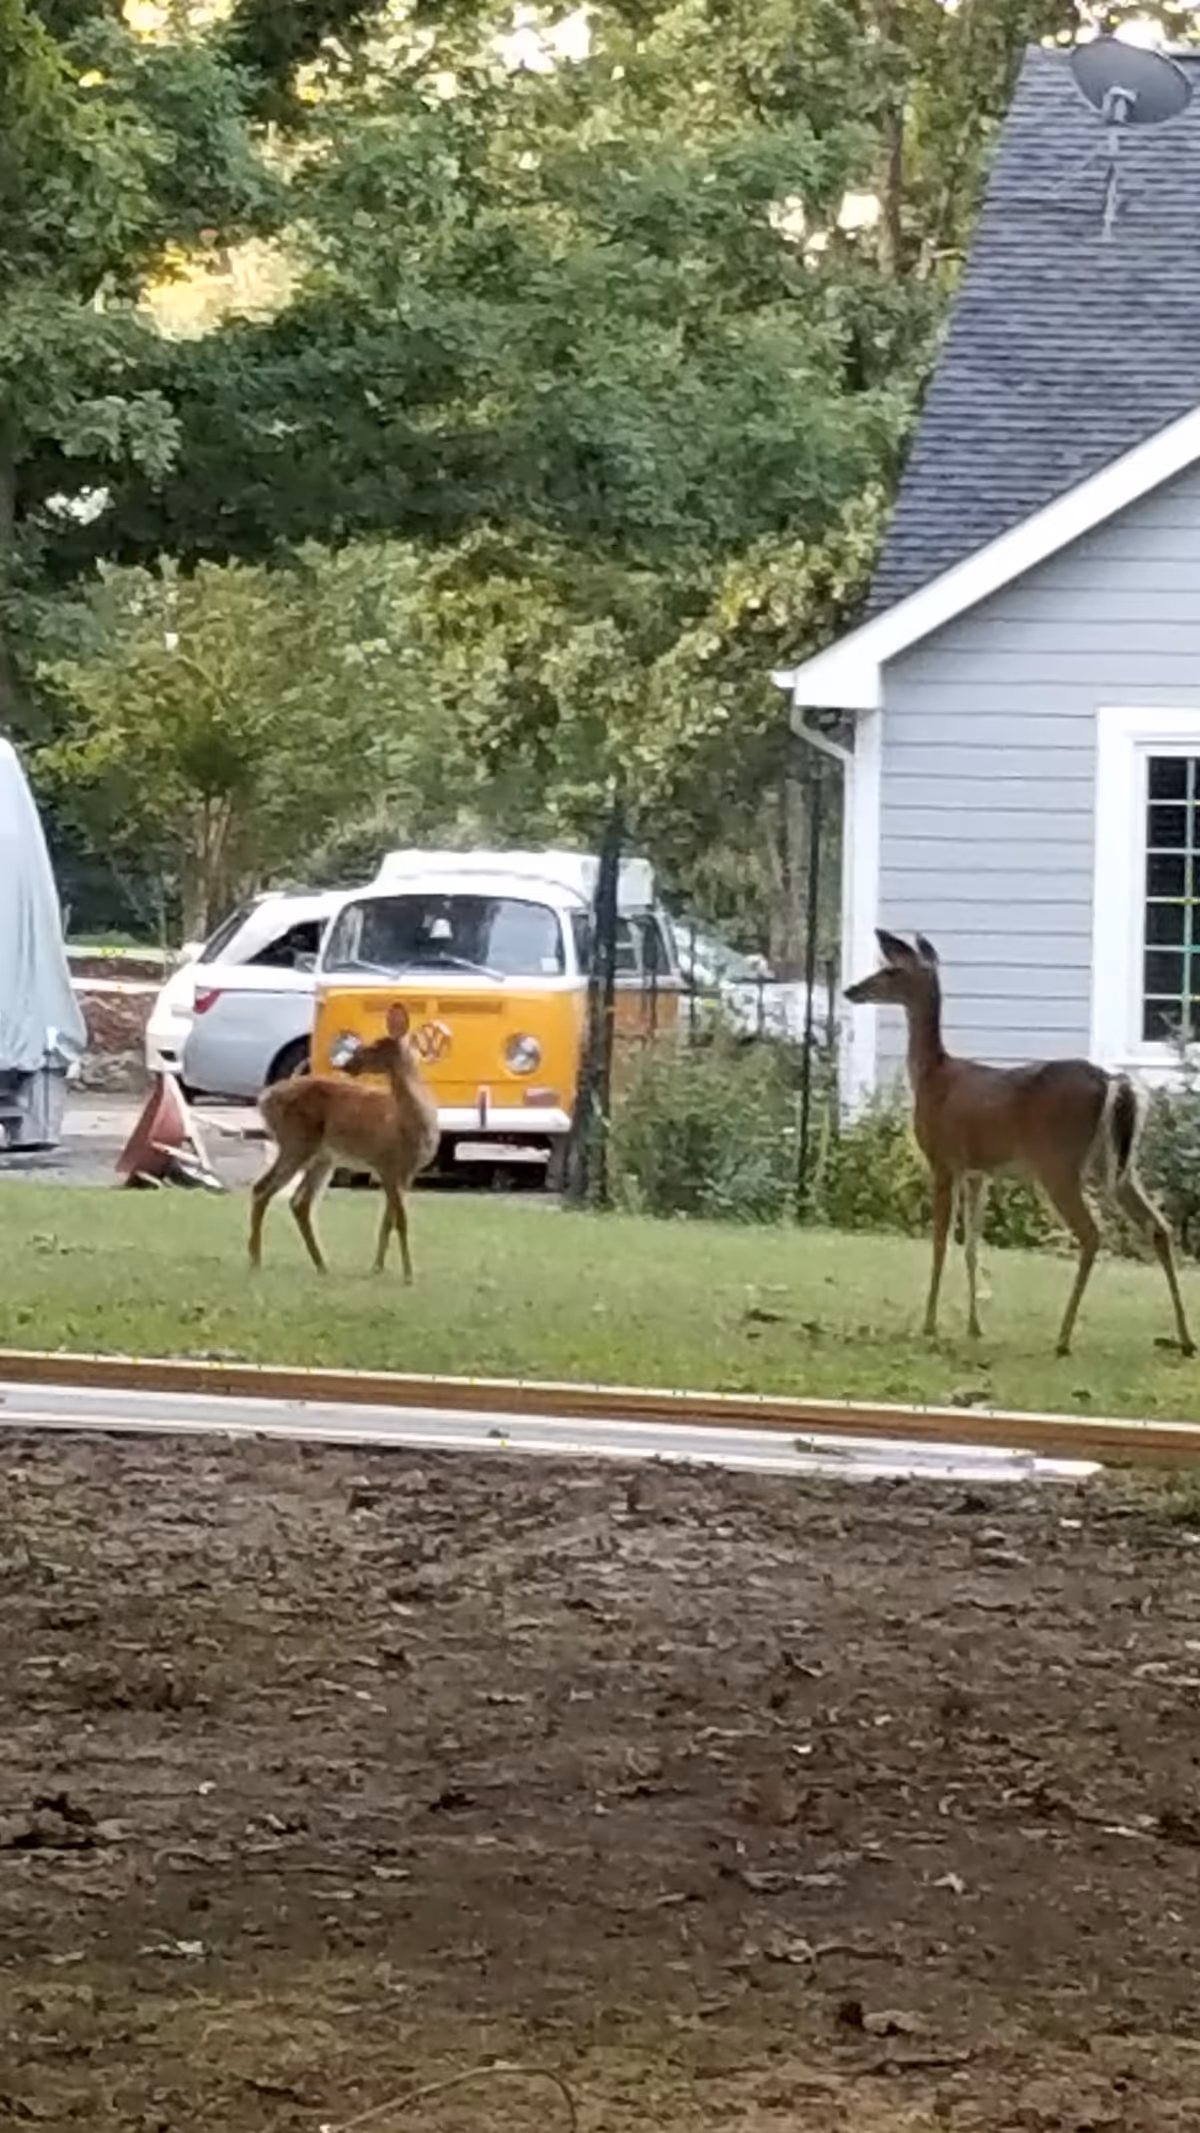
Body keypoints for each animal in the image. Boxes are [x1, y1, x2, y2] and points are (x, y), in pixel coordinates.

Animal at [248, 1003, 439, 1280]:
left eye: (374, 1046)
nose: (349, 1065)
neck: (409, 1122)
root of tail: (264, 1099)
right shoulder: (387, 1165)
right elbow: (401, 1221)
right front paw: (408, 1275)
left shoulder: (406, 1172)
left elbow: (388, 1221)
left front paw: (377, 1268)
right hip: (296, 1142)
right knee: (263, 1188)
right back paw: (256, 1260)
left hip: (322, 1157)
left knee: (299, 1201)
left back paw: (321, 1265)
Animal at [844, 931, 1194, 1359]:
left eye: (891, 970)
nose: (850, 990)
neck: (932, 1077)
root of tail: (1113, 1081)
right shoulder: (978, 1171)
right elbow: (972, 1244)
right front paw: (974, 1326)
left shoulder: (943, 1160)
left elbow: (940, 1241)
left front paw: (928, 1324)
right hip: (1117, 1164)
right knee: (1158, 1226)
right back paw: (1184, 1339)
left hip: (1059, 1163)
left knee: (1092, 1233)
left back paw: (1063, 1338)